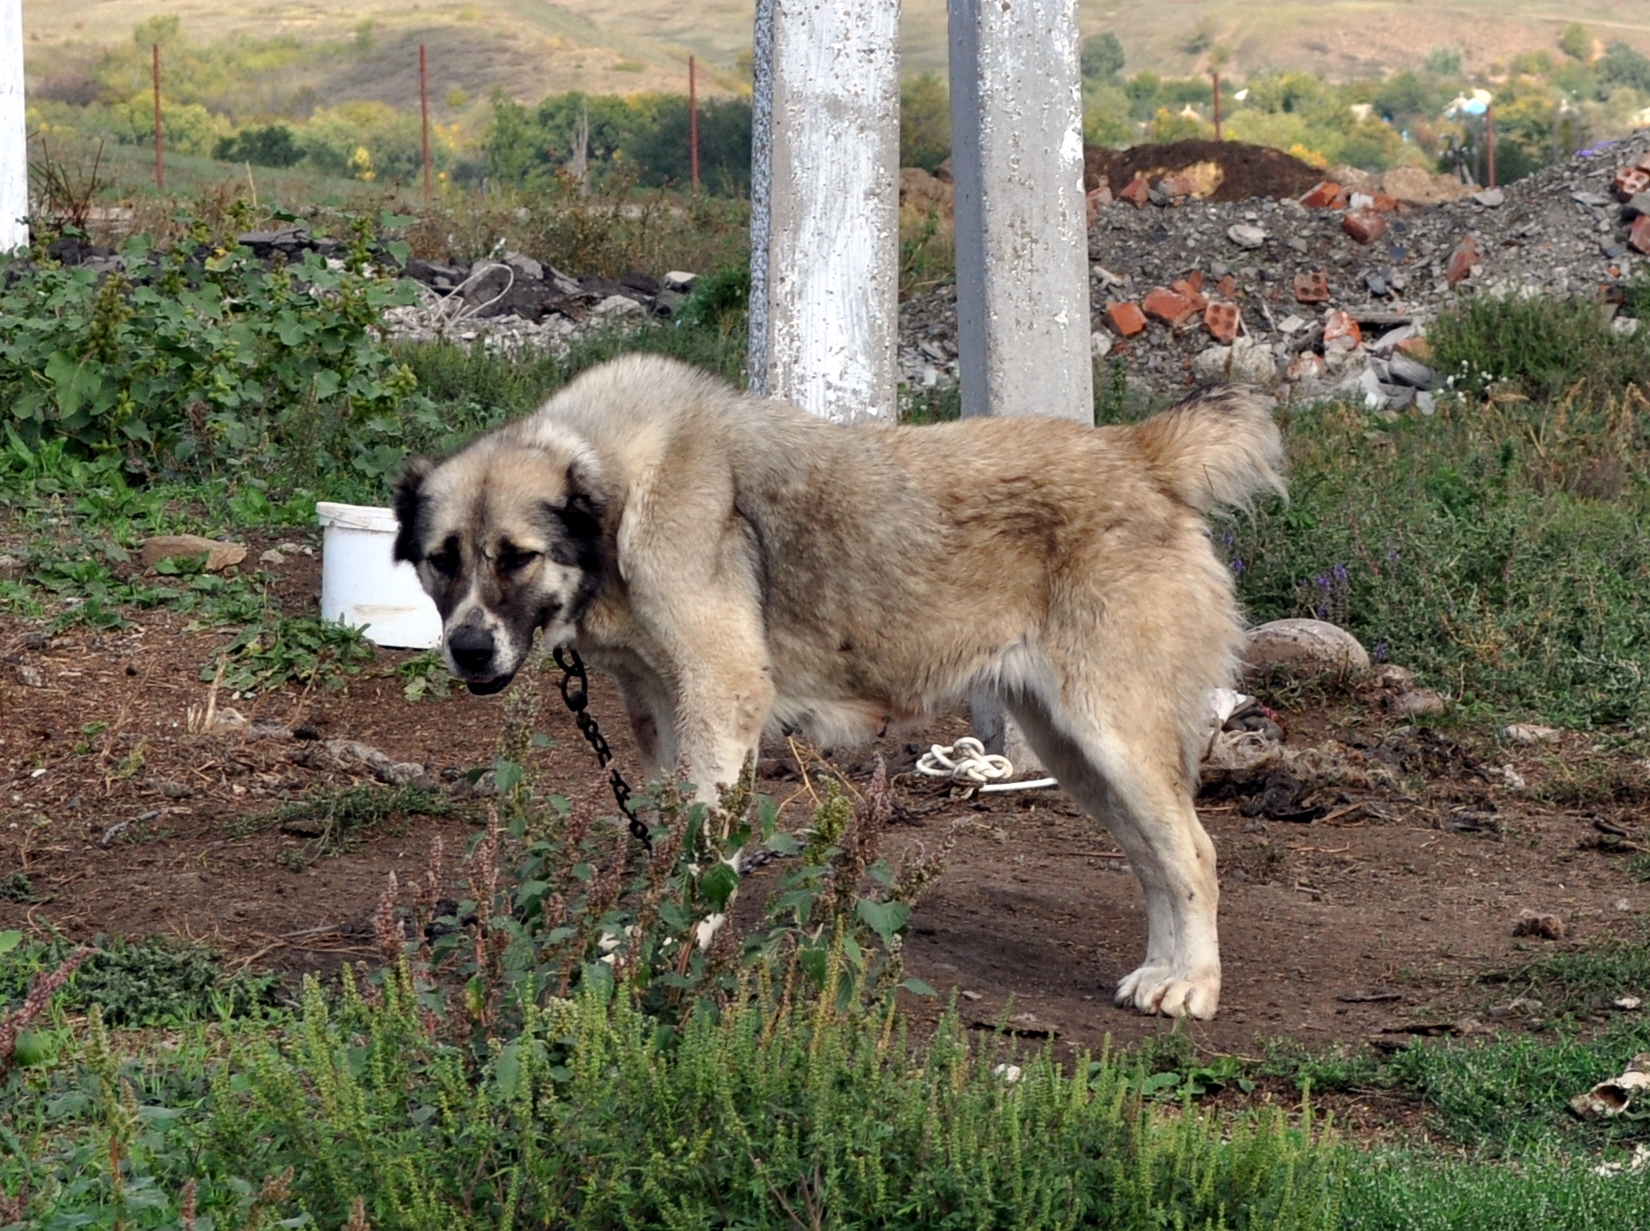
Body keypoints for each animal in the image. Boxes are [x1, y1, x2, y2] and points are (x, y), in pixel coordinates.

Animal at [392, 348, 1280, 1016]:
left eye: (516, 556)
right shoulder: (661, 713)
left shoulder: (722, 698)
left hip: (1113, 735)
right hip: (1076, 750)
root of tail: (1140, 454)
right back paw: (1166, 971)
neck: (618, 491)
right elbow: (669, 843)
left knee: (1193, 851)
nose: (468, 649)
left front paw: (672, 945)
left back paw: (1194, 985)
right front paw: (643, 935)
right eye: (443, 559)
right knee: (1156, 858)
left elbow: (698, 850)